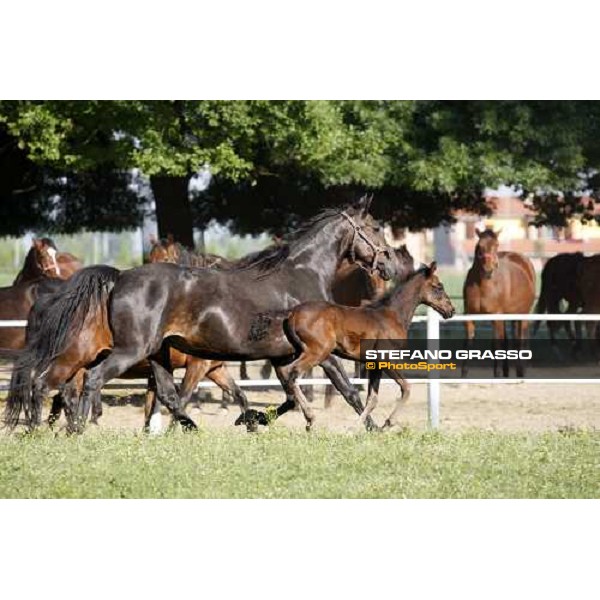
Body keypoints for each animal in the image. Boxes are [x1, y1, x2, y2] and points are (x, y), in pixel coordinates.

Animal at [282, 264, 454, 428]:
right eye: (439, 287)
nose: (451, 310)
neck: (393, 315)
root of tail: (292, 314)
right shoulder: (387, 359)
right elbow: (406, 388)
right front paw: (386, 423)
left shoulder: (375, 364)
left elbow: (372, 399)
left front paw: (361, 427)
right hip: (318, 352)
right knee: (292, 372)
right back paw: (310, 418)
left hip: (299, 352)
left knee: (285, 372)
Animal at [462, 227, 536, 378]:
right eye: (480, 246)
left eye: (496, 245)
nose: (488, 269)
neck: (482, 284)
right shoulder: (469, 315)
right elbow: (468, 343)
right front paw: (464, 374)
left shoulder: (496, 316)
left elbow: (497, 345)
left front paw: (497, 374)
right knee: (508, 341)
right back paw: (506, 372)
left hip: (523, 315)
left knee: (520, 340)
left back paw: (520, 371)